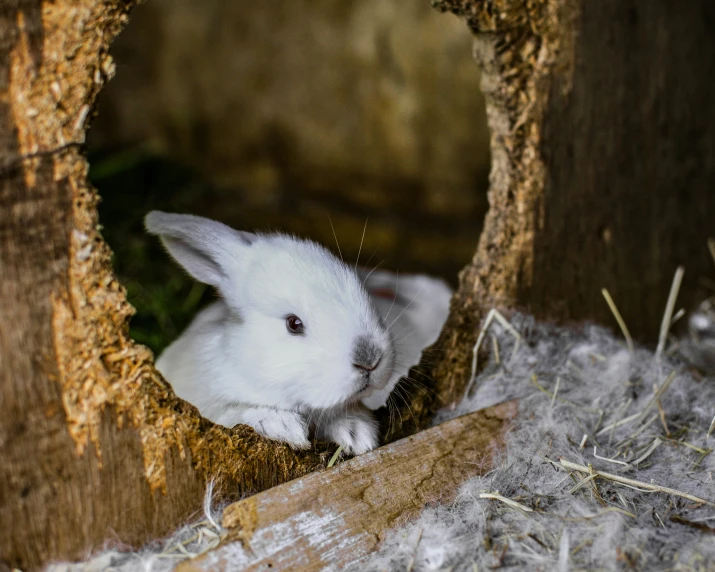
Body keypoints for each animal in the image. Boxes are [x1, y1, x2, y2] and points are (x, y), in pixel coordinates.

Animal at [146, 211, 454, 456]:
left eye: (362, 292)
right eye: (293, 324)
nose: (370, 360)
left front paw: (358, 435)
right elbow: (235, 413)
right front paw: (285, 428)